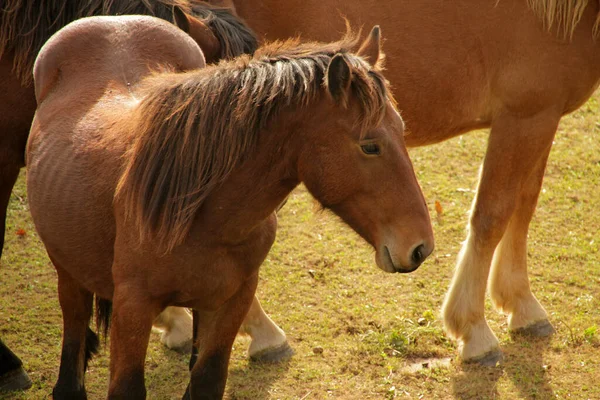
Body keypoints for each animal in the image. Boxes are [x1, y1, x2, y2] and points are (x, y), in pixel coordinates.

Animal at [28, 14, 434, 398]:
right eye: (370, 145)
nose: (421, 247)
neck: (203, 218)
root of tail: (113, 21)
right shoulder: (133, 307)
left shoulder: (230, 301)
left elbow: (206, 380)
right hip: (69, 275)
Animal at [199, 0, 600, 364]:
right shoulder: (525, 115)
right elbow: (493, 215)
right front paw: (474, 329)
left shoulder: (543, 116)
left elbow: (524, 207)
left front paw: (522, 305)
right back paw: (262, 333)